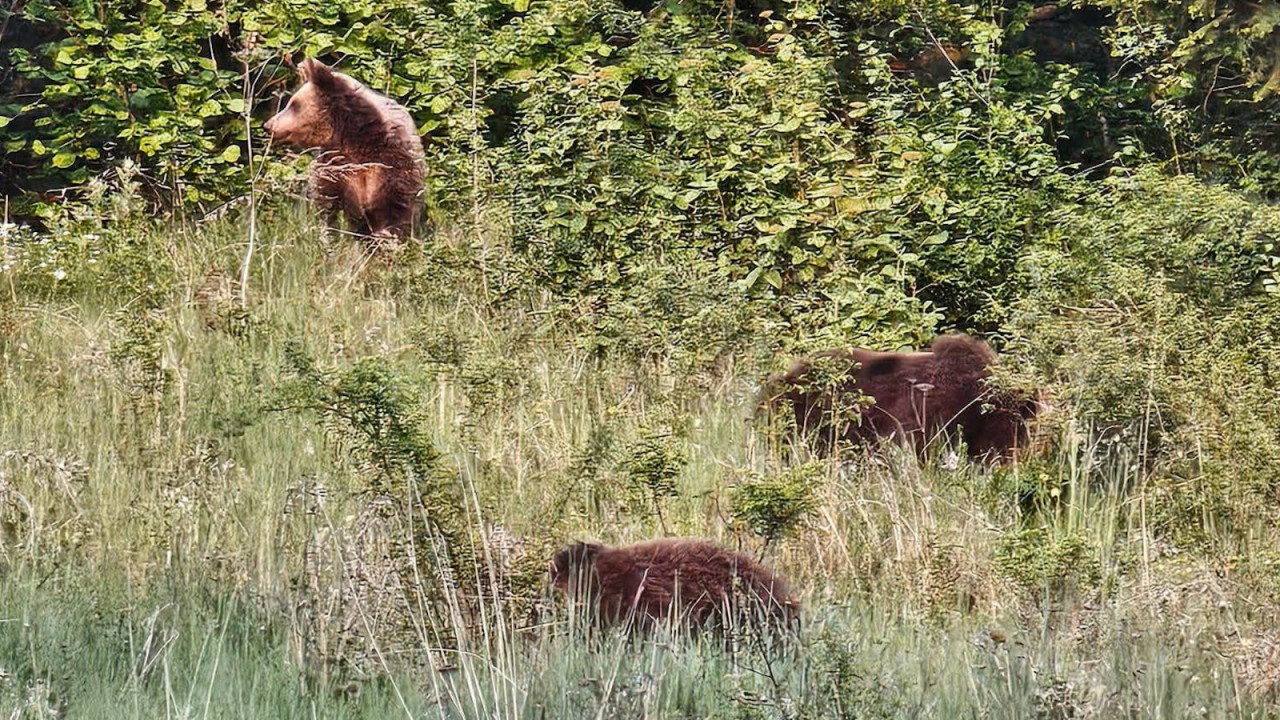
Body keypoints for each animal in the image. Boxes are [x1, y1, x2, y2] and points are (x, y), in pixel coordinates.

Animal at [263, 58, 424, 243]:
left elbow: (395, 211)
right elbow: (327, 205)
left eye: (294, 105)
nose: (268, 125)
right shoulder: (334, 166)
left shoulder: (392, 165)